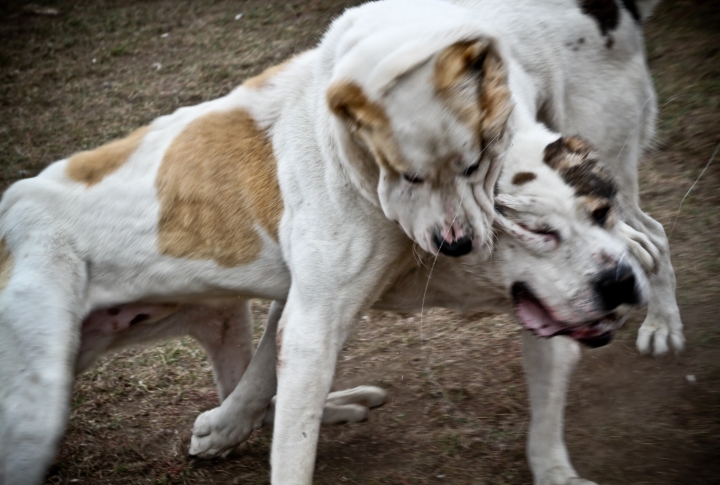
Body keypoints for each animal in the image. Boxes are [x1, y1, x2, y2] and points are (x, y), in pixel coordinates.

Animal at [0, 0, 680, 484]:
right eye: (538, 233)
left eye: (596, 212)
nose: (616, 283)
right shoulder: (313, 312)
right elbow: (284, 428)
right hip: (39, 405)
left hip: (219, 319)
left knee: (652, 234)